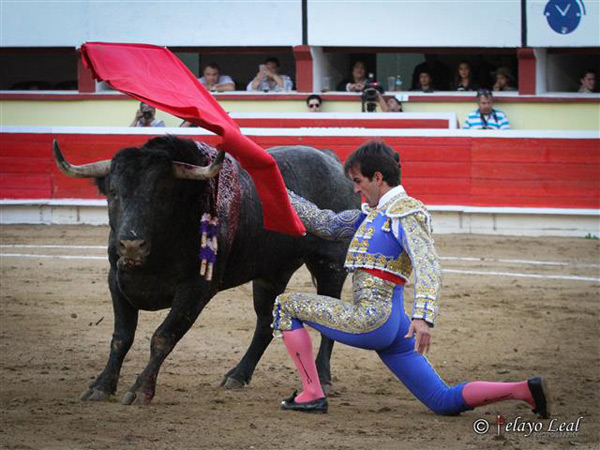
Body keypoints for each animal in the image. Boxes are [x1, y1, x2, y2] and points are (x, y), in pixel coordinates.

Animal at [54, 136, 358, 404]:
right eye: (114, 192)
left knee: (330, 318)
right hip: (271, 274)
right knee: (264, 323)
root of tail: (330, 159)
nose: (131, 245)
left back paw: (322, 377)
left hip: (330, 265)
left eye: (161, 193)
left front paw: (141, 390)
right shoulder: (117, 280)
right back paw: (238, 375)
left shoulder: (197, 289)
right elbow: (121, 338)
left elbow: (163, 337)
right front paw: (101, 386)